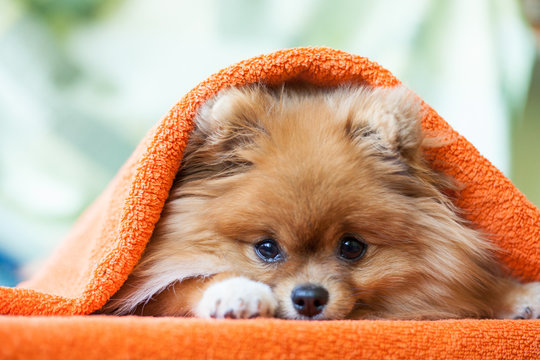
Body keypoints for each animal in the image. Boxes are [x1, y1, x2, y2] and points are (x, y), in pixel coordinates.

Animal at [104, 84, 540, 320]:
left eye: (352, 247)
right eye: (266, 248)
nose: (309, 298)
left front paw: (518, 295)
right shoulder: (143, 294)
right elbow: (188, 281)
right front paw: (236, 291)